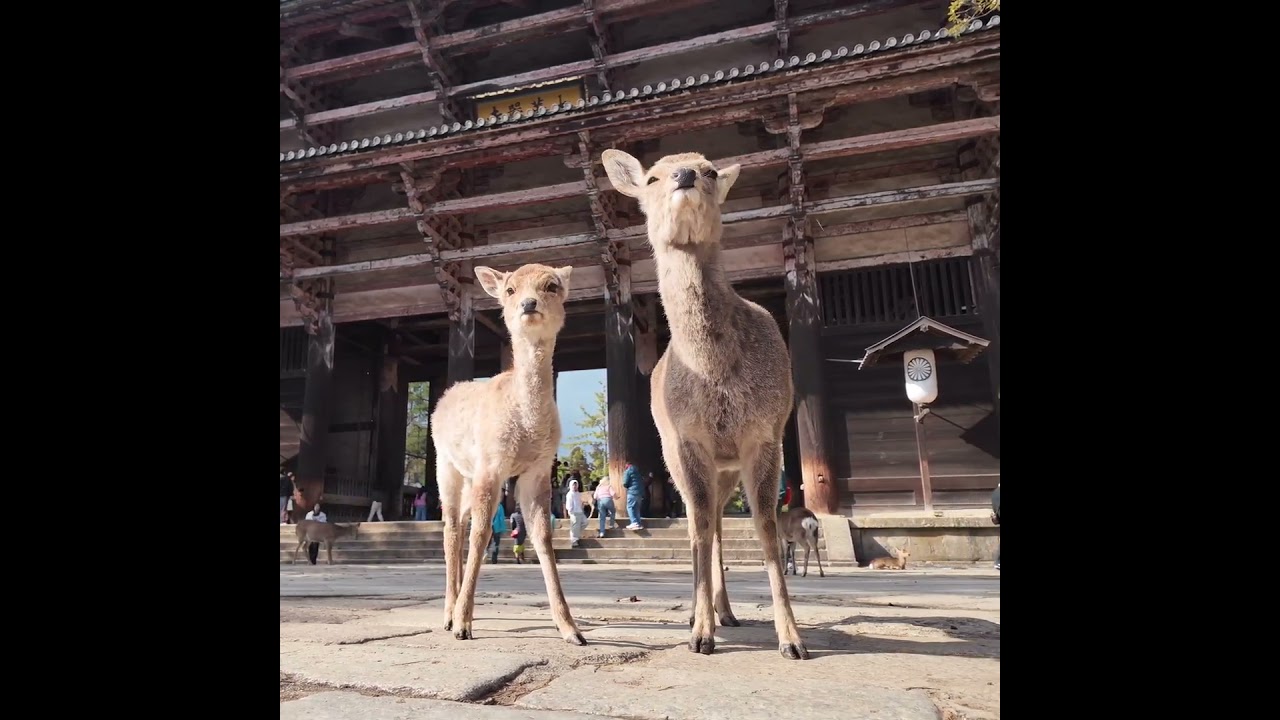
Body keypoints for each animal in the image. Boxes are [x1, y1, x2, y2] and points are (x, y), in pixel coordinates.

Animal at [430, 263, 586, 645]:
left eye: (552, 286)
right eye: (510, 289)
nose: (529, 304)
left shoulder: (539, 469)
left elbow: (542, 536)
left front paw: (571, 629)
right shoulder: (491, 463)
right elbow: (482, 534)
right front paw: (463, 625)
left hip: (469, 474)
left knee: (461, 522)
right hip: (446, 464)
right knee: (451, 526)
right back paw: (448, 614)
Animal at [602, 149, 808, 660]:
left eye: (712, 169)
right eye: (651, 178)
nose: (684, 174)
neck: (715, 372)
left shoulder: (764, 434)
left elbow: (767, 530)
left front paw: (792, 640)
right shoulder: (688, 439)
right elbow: (694, 527)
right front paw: (698, 634)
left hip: (726, 467)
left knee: (716, 522)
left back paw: (726, 612)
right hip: (677, 457)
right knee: (704, 522)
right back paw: (704, 618)